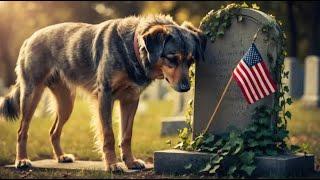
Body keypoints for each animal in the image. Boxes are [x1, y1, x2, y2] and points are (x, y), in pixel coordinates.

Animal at [0, 14, 206, 172]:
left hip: (66, 104)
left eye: (190, 61)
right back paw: (22, 160)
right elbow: (109, 135)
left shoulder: (131, 100)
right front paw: (113, 165)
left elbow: (126, 135)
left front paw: (130, 162)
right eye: (172, 58)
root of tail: (30, 38)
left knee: (53, 132)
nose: (186, 88)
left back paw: (61, 157)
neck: (131, 49)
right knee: (22, 130)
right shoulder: (105, 96)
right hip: (31, 95)